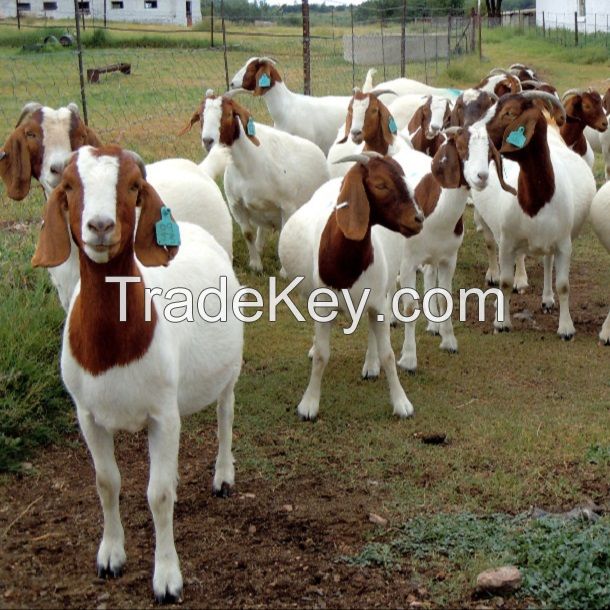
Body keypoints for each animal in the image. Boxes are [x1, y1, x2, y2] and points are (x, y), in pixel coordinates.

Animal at [29, 145, 241, 600]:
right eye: (69, 186)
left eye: (131, 185)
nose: (100, 225)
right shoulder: (89, 415)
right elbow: (106, 482)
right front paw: (111, 556)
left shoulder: (162, 414)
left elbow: (158, 496)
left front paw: (167, 578)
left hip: (228, 371)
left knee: (225, 414)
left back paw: (223, 475)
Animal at [183, 89, 330, 270]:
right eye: (200, 116)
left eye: (229, 114)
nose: (208, 141)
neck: (247, 167)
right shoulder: (236, 205)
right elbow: (248, 234)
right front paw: (255, 265)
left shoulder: (287, 205)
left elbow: (284, 236)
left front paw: (284, 271)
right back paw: (260, 247)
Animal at [278, 151, 420, 418]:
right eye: (381, 184)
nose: (419, 219)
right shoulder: (323, 305)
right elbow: (322, 355)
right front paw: (309, 404)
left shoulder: (377, 303)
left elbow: (388, 354)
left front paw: (401, 402)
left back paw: (371, 364)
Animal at [470, 91, 592, 338]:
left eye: (509, 112)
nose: (473, 132)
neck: (536, 200)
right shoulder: (507, 241)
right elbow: (506, 282)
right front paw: (502, 322)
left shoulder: (564, 243)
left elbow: (563, 285)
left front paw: (566, 328)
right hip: (491, 225)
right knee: (491, 245)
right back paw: (495, 277)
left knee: (547, 261)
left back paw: (546, 300)